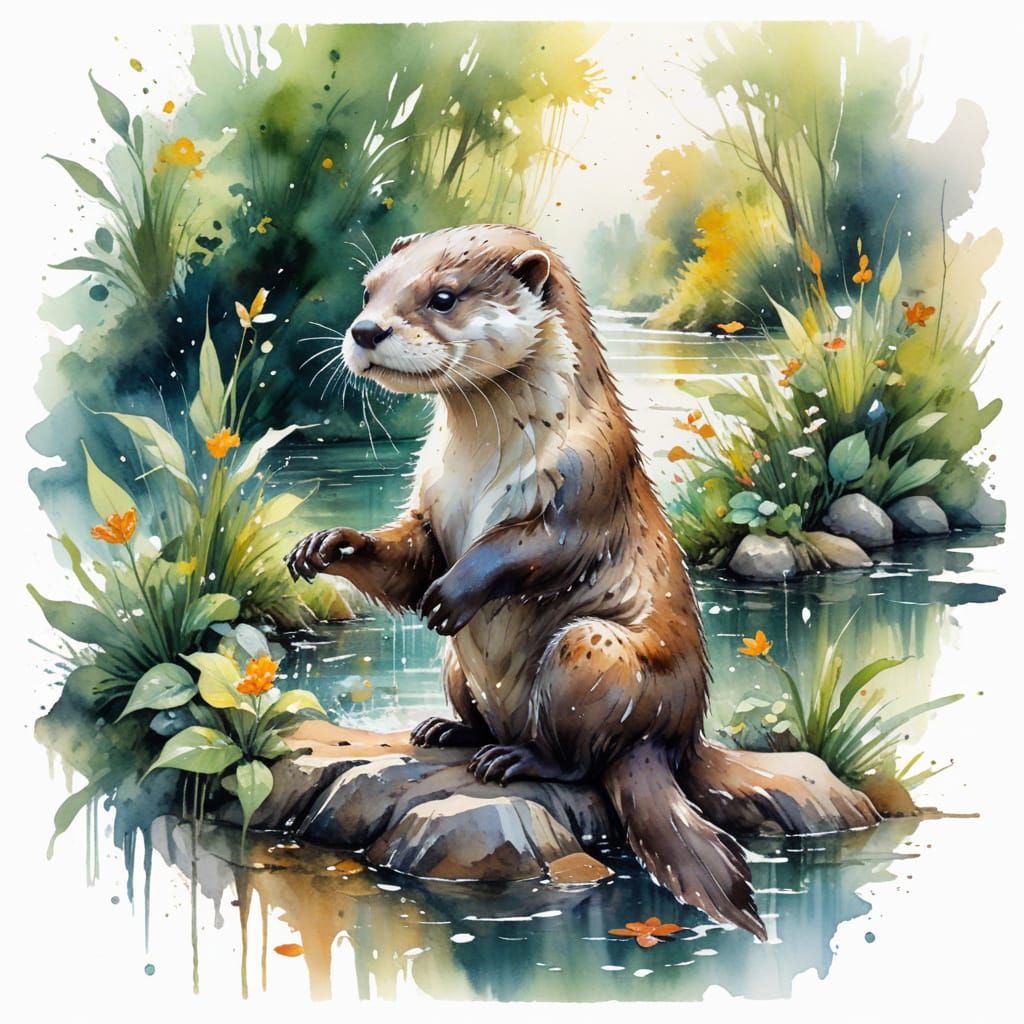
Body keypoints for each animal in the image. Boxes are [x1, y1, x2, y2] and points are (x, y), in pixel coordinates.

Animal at [286, 224, 766, 938]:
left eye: (444, 296)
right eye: (369, 289)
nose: (366, 329)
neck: (480, 468)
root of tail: (669, 738)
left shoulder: (590, 478)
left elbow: (531, 548)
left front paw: (453, 593)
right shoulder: (430, 501)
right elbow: (410, 555)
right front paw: (329, 544)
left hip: (593, 655)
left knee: (580, 760)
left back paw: (515, 760)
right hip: (459, 670)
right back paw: (450, 732)